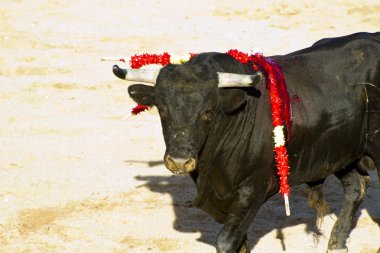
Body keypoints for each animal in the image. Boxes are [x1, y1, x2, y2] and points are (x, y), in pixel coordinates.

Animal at [111, 32, 378, 253]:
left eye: (207, 112)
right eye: (162, 110)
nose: (179, 161)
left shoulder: (252, 191)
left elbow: (226, 241)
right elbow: (240, 242)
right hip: (342, 153)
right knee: (356, 187)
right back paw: (336, 244)